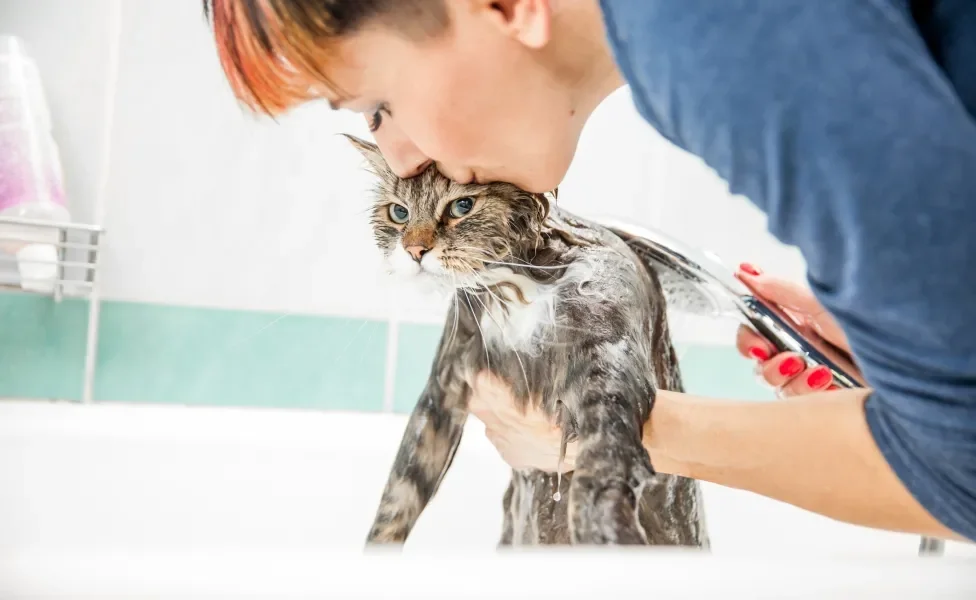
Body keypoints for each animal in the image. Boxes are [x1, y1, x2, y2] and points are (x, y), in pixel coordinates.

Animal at [350, 134, 708, 548]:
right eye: (399, 213)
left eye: (462, 206)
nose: (414, 251)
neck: (513, 286)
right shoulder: (445, 384)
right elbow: (399, 494)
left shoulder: (608, 363)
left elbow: (603, 462)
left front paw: (604, 526)